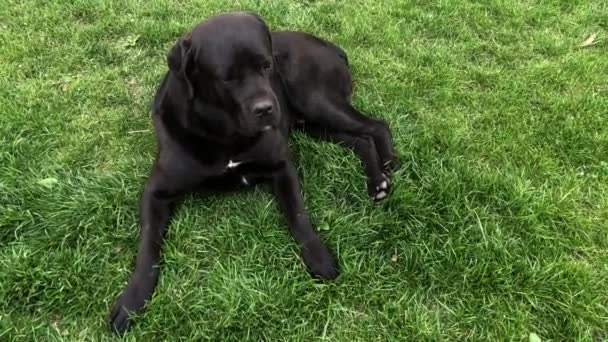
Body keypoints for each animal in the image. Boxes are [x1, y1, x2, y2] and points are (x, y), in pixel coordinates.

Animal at [108, 12, 396, 332]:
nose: (266, 108)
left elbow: (298, 216)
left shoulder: (282, 165)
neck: (224, 133)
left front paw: (319, 258)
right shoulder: (156, 192)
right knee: (361, 139)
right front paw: (131, 302)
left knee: (376, 126)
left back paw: (386, 168)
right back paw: (378, 180)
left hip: (314, 101)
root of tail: (330, 45)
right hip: (310, 122)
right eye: (227, 78)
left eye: (266, 66)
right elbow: (147, 247)